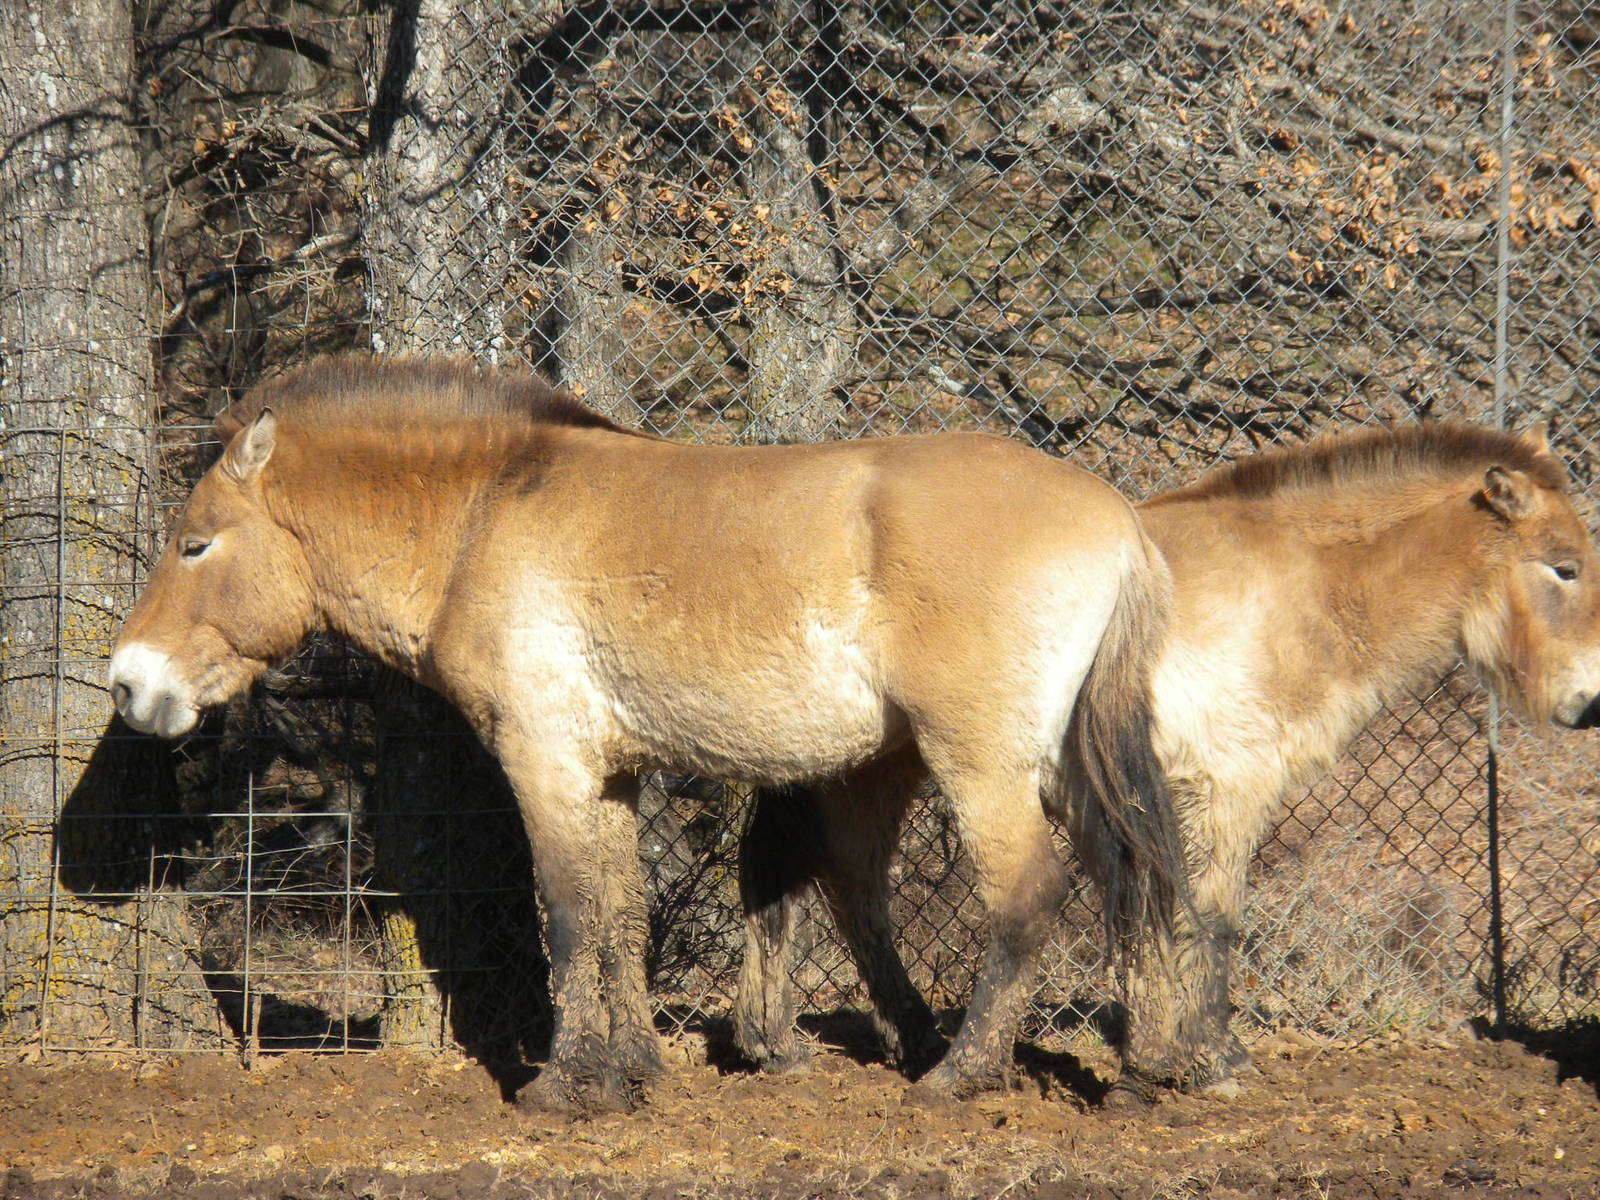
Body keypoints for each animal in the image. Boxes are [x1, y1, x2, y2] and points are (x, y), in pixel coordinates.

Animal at [107, 354, 1186, 1112]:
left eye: (194, 544)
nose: (128, 683)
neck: (482, 516)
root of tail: (1119, 516)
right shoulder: (612, 775)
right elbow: (622, 914)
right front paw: (633, 1067)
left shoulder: (545, 759)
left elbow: (570, 911)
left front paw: (565, 1087)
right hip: (1040, 765)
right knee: (1130, 876)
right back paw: (1143, 1069)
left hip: (976, 763)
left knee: (1029, 894)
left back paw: (961, 1074)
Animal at [733, 420, 1600, 1101]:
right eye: (1563, 567)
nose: (1589, 704)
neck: (1289, 592)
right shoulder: (1227, 787)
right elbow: (1210, 917)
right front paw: (1205, 1059)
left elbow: (1161, 913)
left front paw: (1163, 1053)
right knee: (839, 881)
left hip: (880, 768)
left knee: (836, 882)